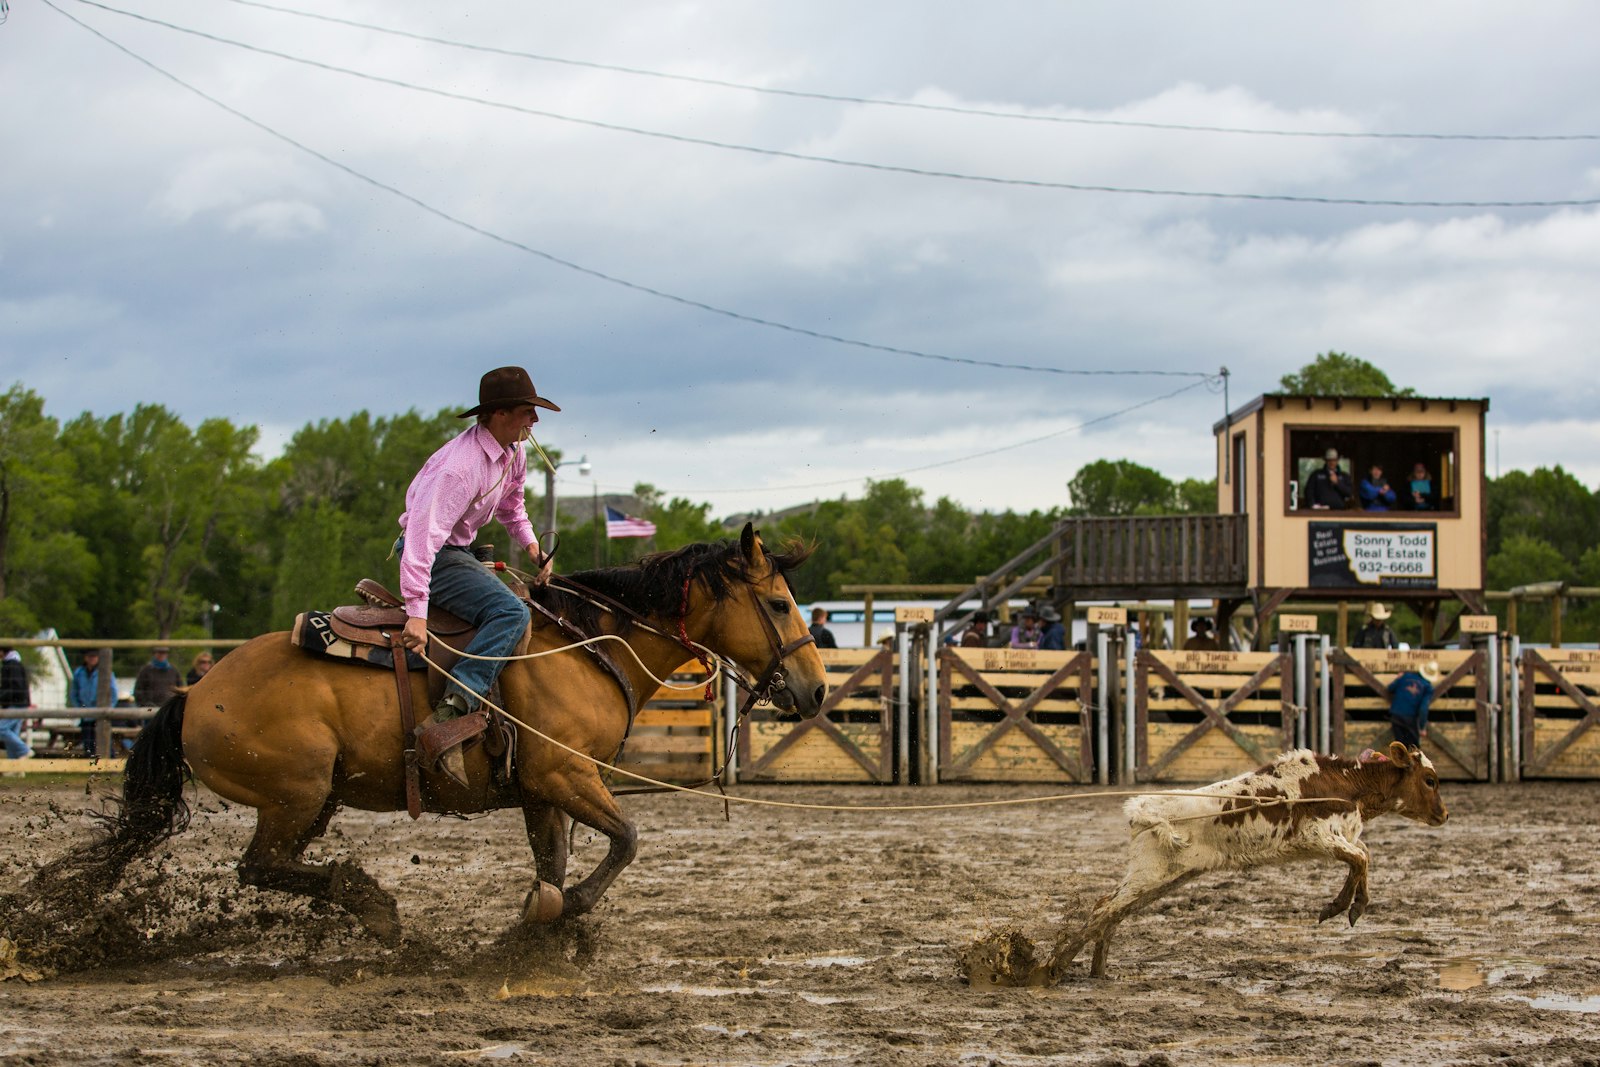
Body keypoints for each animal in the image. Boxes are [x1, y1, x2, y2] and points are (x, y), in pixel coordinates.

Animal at [89, 524, 832, 940]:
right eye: (777, 603)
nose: (818, 689)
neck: (586, 647)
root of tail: (196, 691)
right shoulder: (563, 773)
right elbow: (626, 839)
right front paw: (567, 910)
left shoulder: (541, 790)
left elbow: (552, 861)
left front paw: (538, 924)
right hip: (295, 792)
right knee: (258, 866)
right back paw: (374, 905)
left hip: (314, 798)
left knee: (268, 865)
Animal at [1043, 748, 1446, 979]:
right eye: (1430, 780)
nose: (1444, 814)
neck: (1345, 784)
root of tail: (1143, 809)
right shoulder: (1316, 837)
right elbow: (1360, 858)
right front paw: (1343, 907)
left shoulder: (1340, 838)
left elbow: (1363, 857)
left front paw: (1349, 904)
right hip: (1150, 874)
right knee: (1103, 910)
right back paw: (1055, 967)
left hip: (1164, 877)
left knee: (1110, 912)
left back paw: (1096, 970)